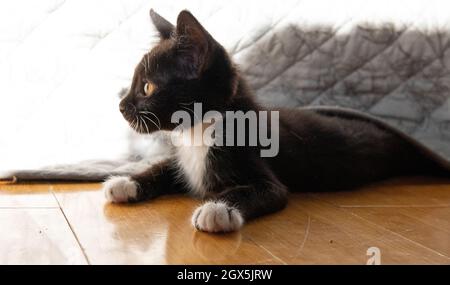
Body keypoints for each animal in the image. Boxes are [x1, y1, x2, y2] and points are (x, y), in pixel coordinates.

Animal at [103, 9, 450, 233]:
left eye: (147, 88)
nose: (120, 106)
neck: (197, 134)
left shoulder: (263, 174)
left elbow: (264, 191)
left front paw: (218, 209)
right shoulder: (185, 164)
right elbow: (163, 168)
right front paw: (125, 182)